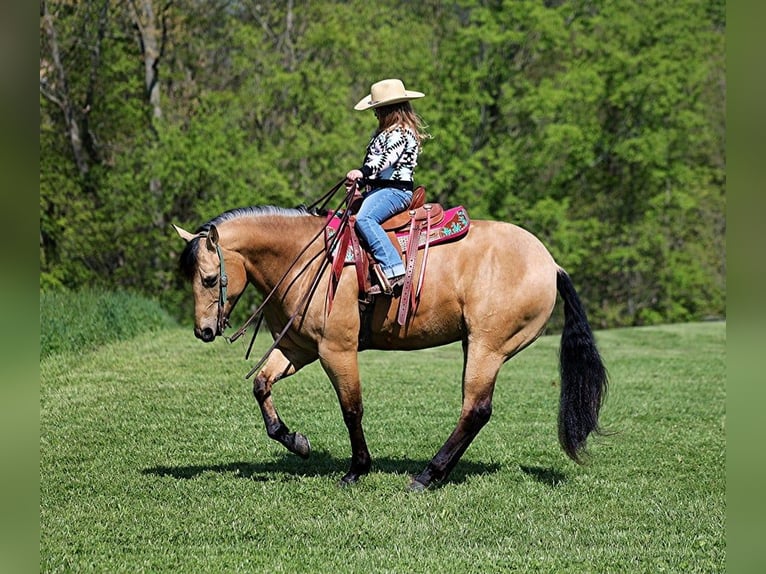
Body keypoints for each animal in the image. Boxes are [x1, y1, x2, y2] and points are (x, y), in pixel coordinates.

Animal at [174, 203, 608, 490]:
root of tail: (550, 264)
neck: (306, 258)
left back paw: (428, 475)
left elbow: (351, 410)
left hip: (488, 348)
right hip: (474, 345)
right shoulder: (298, 349)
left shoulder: (337, 350)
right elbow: (261, 385)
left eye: (209, 279)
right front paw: (296, 442)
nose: (203, 331)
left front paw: (357, 469)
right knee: (475, 412)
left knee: (475, 410)